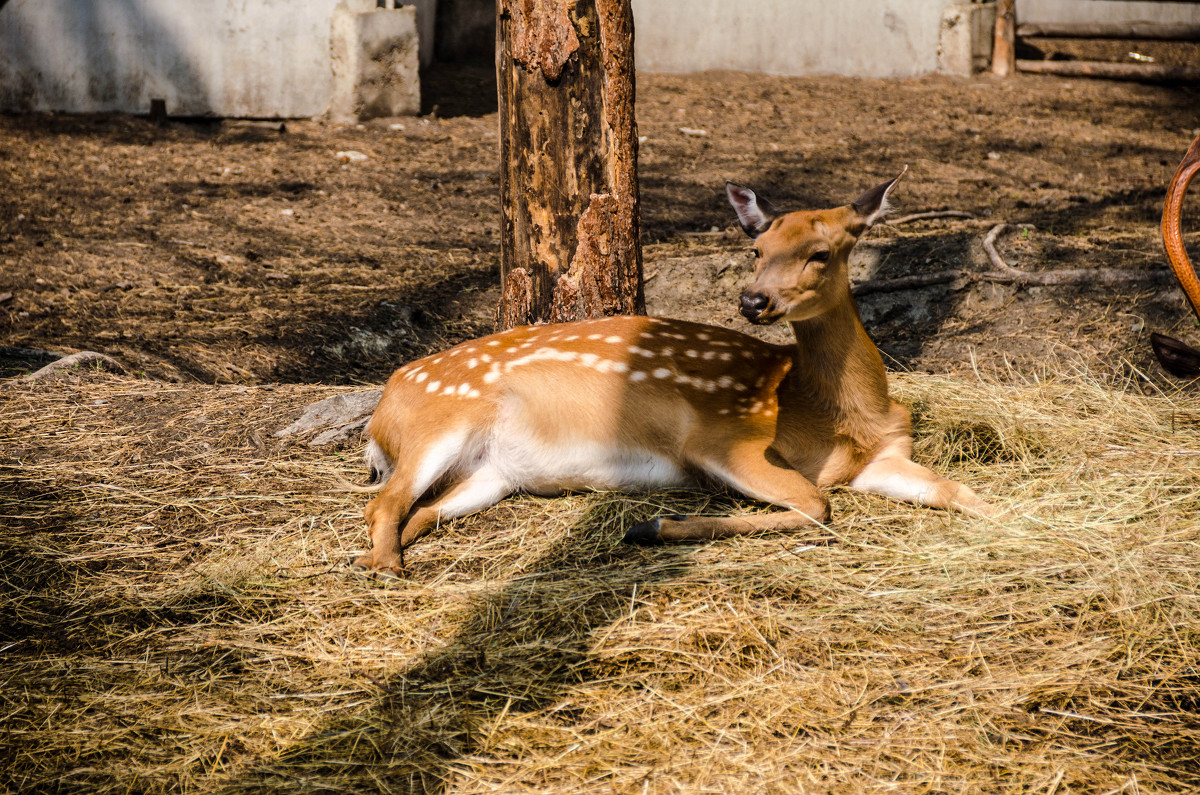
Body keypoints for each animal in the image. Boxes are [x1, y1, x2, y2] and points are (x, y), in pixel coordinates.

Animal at [350, 172, 998, 578]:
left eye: (821, 253)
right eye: (756, 250)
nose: (752, 300)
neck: (830, 415)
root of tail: (382, 410)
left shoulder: (883, 457)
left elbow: (959, 492)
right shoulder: (721, 438)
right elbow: (817, 503)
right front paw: (654, 525)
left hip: (492, 472)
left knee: (419, 510)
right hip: (442, 421)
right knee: (382, 504)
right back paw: (384, 567)